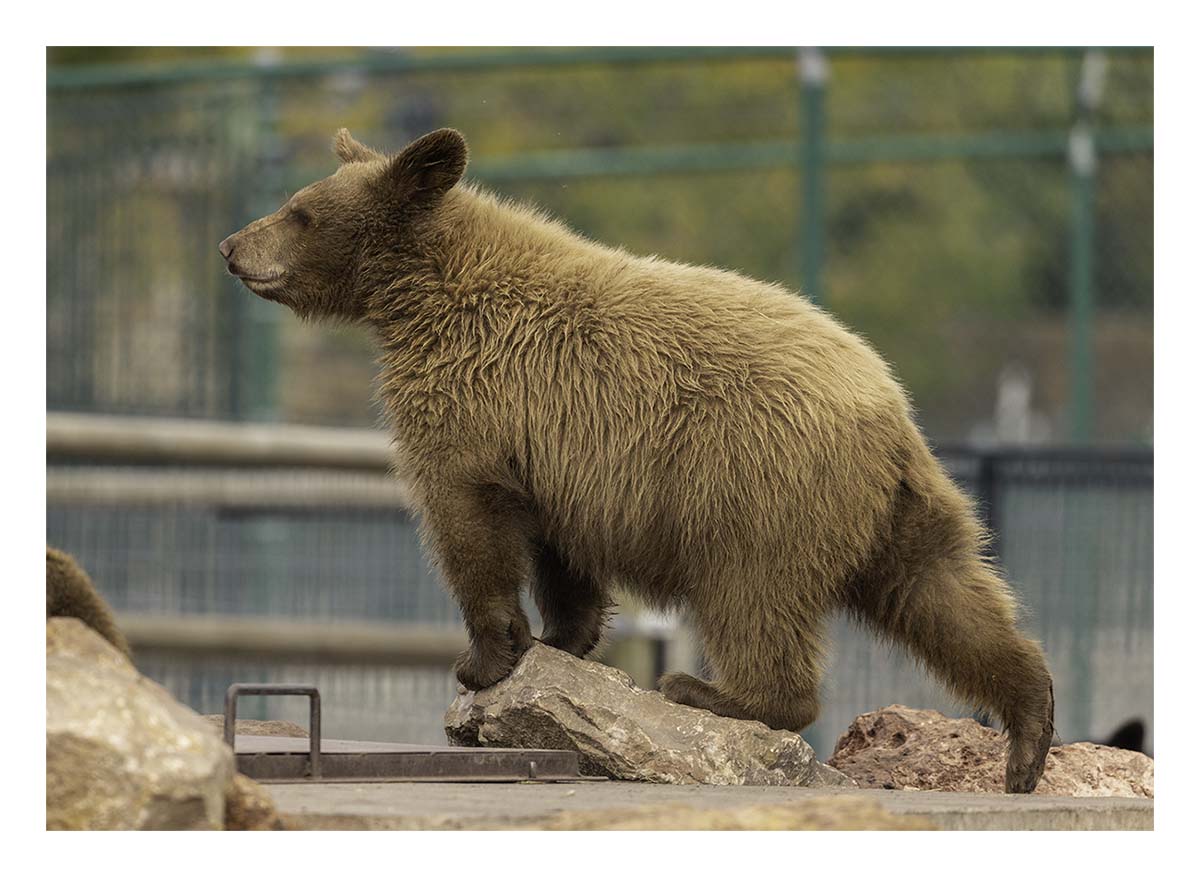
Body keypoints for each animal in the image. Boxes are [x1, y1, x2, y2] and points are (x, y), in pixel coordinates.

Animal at [219, 127, 1055, 793]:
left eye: (299, 211)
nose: (231, 246)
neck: (420, 298)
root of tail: (886, 411)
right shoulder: (552, 448)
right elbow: (557, 550)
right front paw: (561, 639)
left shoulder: (475, 402)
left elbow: (465, 519)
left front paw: (485, 656)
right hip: (897, 510)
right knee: (947, 596)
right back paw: (1028, 731)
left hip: (755, 485)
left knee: (752, 596)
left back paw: (709, 689)